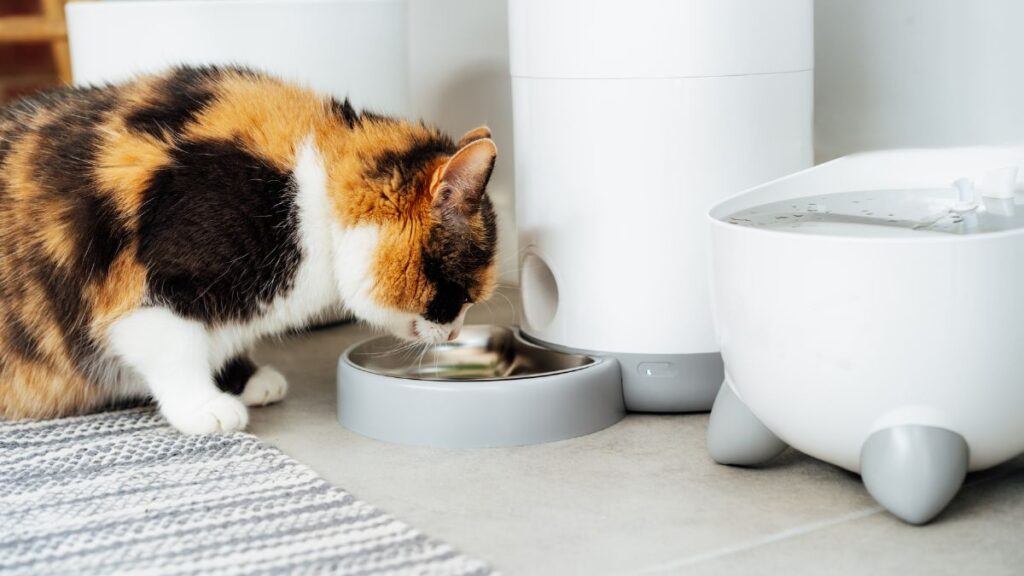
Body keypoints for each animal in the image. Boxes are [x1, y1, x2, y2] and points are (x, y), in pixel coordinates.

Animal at [0, 66, 499, 430]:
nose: (454, 333)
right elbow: (174, 347)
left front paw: (243, 379)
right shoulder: (150, 287)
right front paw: (204, 406)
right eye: (461, 293)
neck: (306, 189)